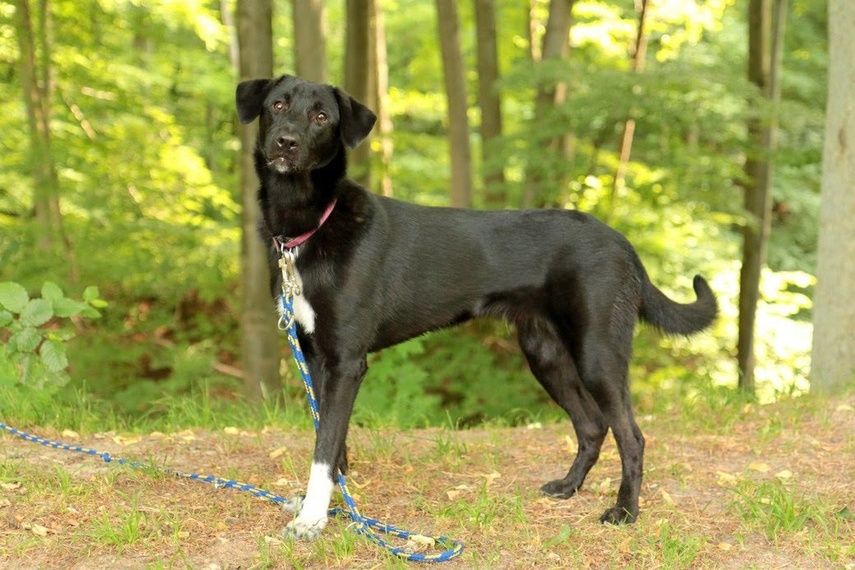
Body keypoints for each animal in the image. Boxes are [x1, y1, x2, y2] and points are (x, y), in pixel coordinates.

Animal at [234, 74, 716, 536]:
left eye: (321, 117)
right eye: (278, 104)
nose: (286, 142)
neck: (310, 225)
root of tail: (623, 243)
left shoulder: (346, 362)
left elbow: (325, 447)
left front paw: (312, 520)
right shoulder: (317, 355)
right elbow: (330, 442)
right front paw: (330, 505)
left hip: (597, 353)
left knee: (632, 436)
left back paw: (625, 511)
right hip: (545, 354)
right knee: (592, 425)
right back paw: (568, 487)